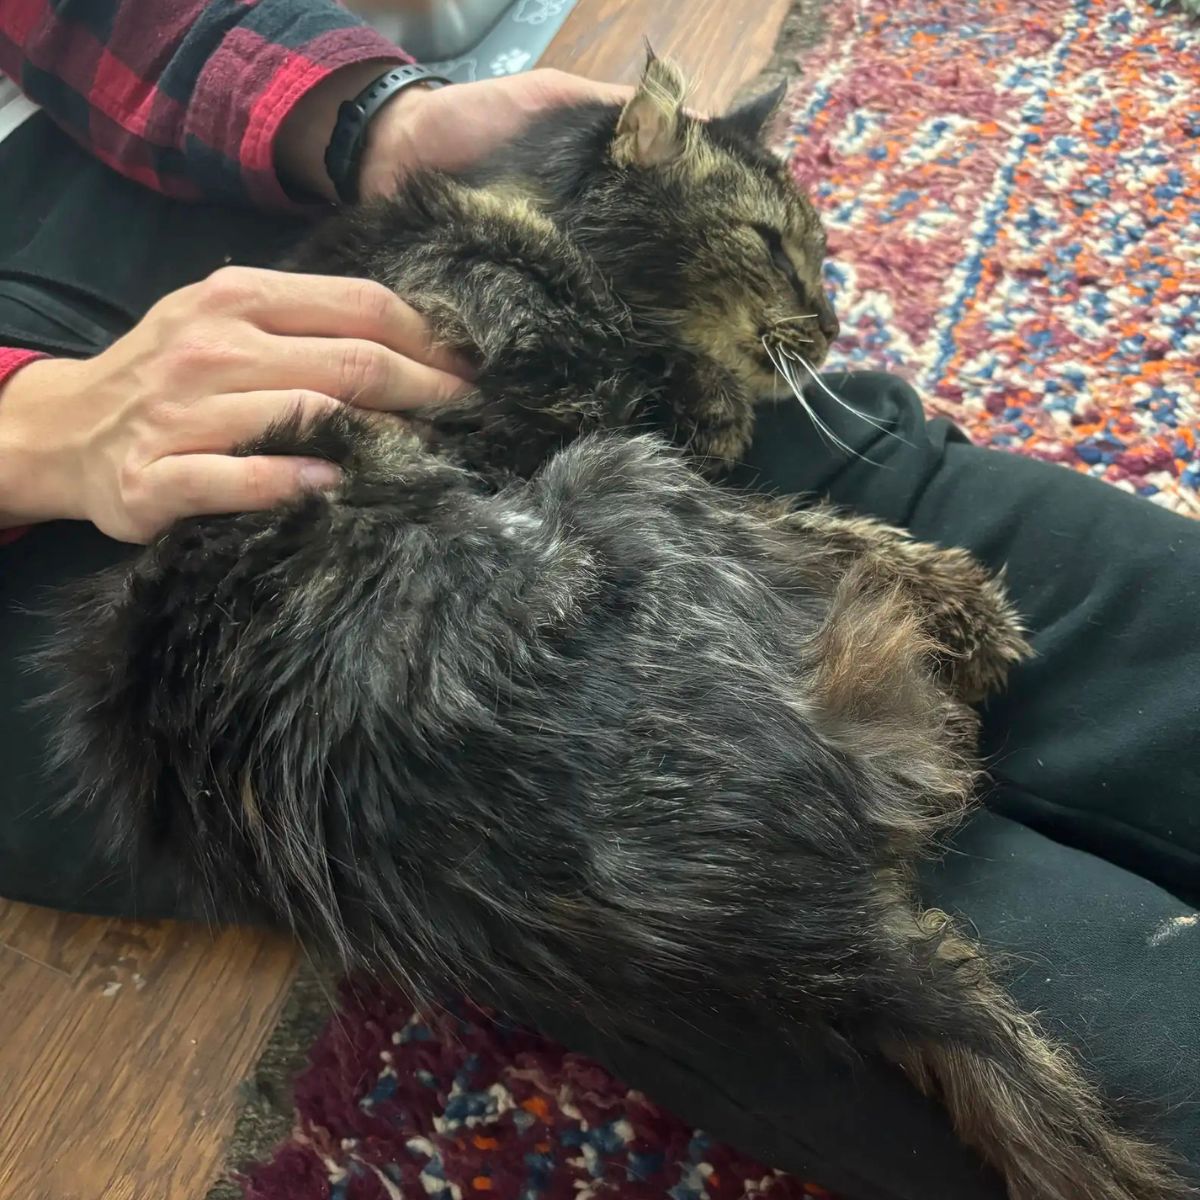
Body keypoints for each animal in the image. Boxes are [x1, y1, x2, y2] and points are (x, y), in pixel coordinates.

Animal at [39, 54, 1190, 1200]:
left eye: (822, 253)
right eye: (770, 244)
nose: (829, 330)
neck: (541, 226)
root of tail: (819, 942)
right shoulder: (544, 416)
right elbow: (743, 453)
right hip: (618, 481)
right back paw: (965, 616)